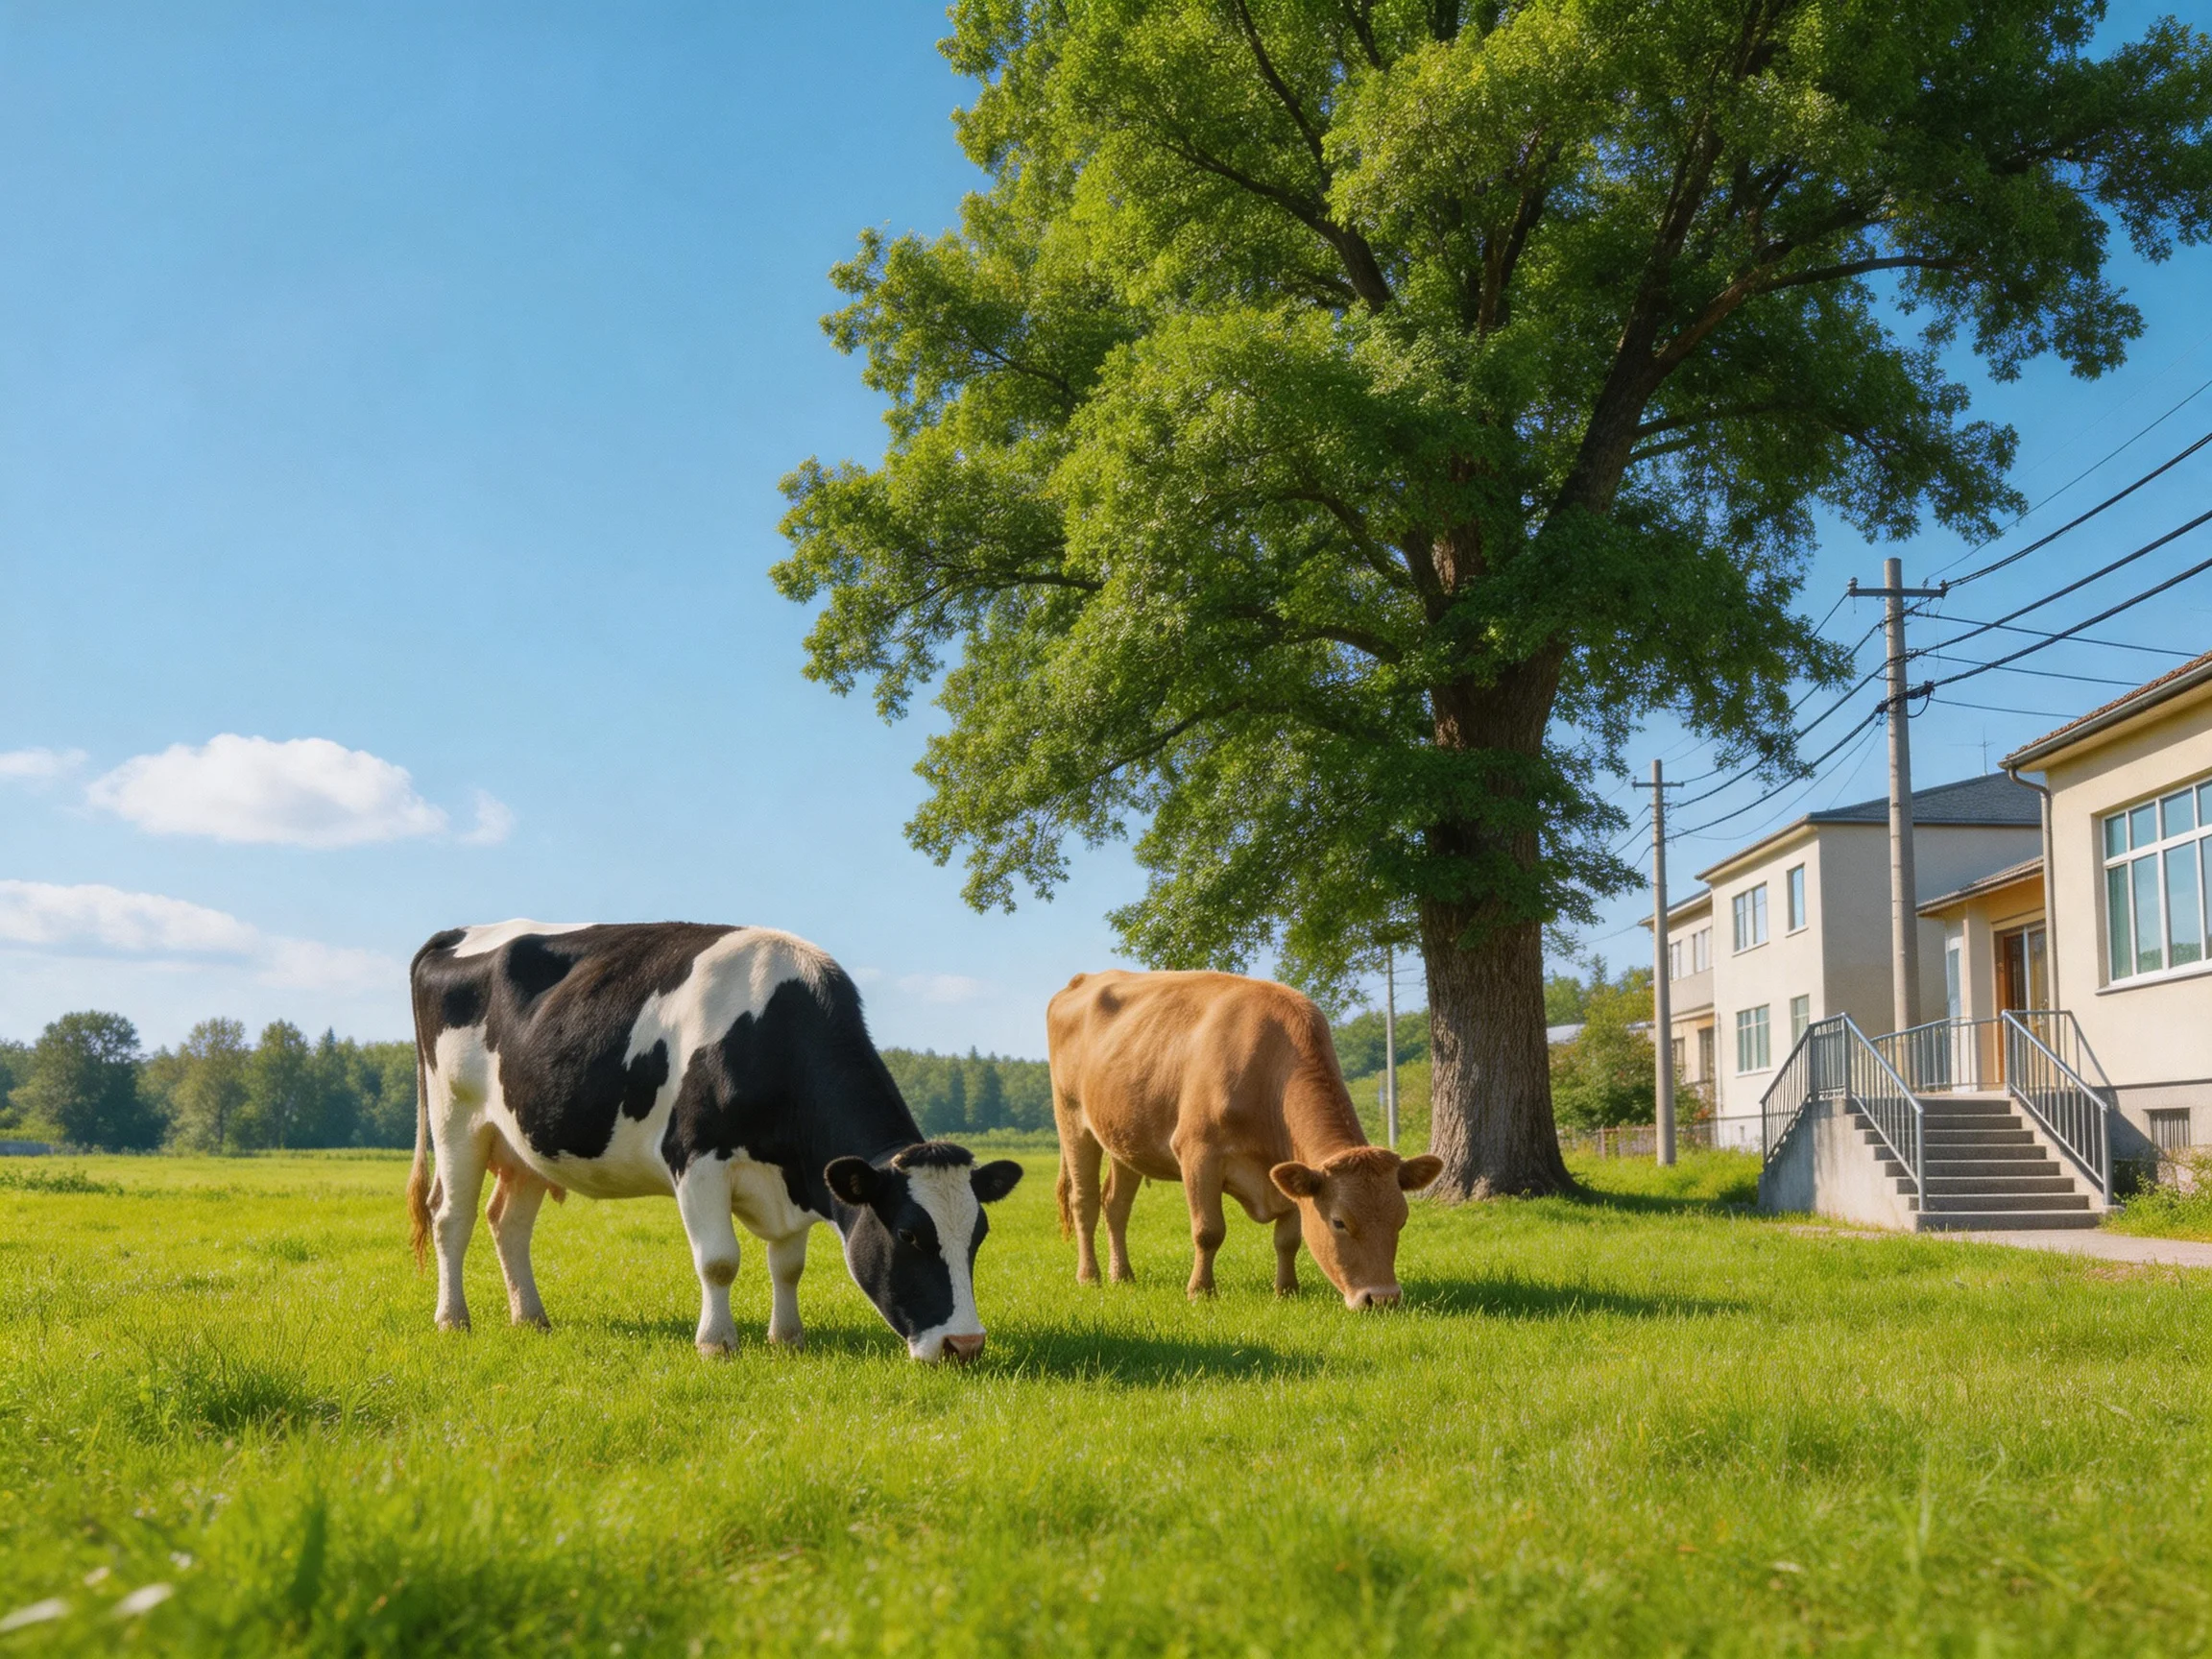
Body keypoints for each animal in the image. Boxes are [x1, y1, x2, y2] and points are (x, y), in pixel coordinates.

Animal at [406, 921, 1023, 1362]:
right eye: (909, 1235)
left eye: (979, 1236)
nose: (966, 1345)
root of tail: (458, 932)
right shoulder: (697, 1160)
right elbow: (720, 1261)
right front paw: (716, 1343)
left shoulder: (794, 1180)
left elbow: (788, 1265)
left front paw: (787, 1338)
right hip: (457, 1118)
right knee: (451, 1218)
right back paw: (452, 1320)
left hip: (523, 1142)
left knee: (508, 1222)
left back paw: (531, 1318)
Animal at [1047, 969, 1442, 1309]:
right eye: (1339, 1222)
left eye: (1401, 1219)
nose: (1383, 1298)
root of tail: (1084, 979)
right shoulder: (1199, 1153)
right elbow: (1208, 1231)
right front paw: (1201, 1291)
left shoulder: (1288, 1169)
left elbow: (1288, 1239)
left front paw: (1287, 1290)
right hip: (1072, 1120)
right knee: (1085, 1202)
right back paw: (1090, 1276)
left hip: (1124, 1136)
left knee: (1116, 1205)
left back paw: (1123, 1275)